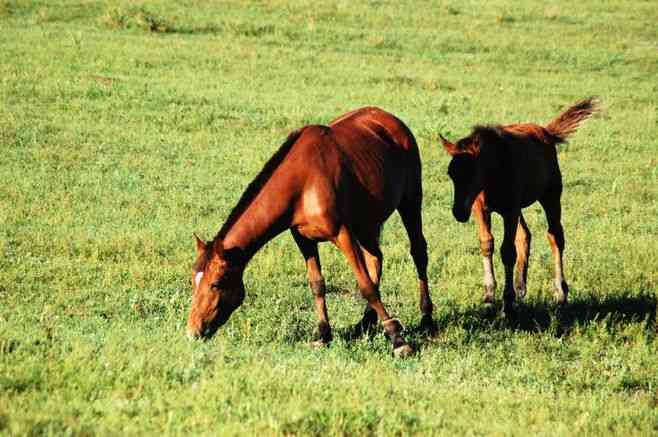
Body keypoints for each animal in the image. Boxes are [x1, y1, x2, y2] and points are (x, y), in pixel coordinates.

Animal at [186, 107, 430, 356]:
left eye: (216, 284)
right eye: (193, 282)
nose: (193, 331)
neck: (302, 181)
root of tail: (390, 120)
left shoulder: (342, 234)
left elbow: (366, 286)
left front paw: (398, 340)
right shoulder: (303, 239)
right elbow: (317, 285)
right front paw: (323, 335)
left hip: (410, 201)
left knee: (418, 253)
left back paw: (426, 318)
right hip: (366, 222)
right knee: (376, 258)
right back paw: (365, 323)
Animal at [438, 98, 596, 314]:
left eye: (474, 172)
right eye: (451, 174)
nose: (459, 212)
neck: (494, 175)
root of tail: (546, 132)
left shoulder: (510, 210)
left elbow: (507, 251)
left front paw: (507, 303)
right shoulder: (481, 209)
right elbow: (487, 244)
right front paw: (489, 296)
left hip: (550, 196)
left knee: (555, 236)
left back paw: (560, 293)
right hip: (519, 207)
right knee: (525, 235)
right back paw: (521, 286)